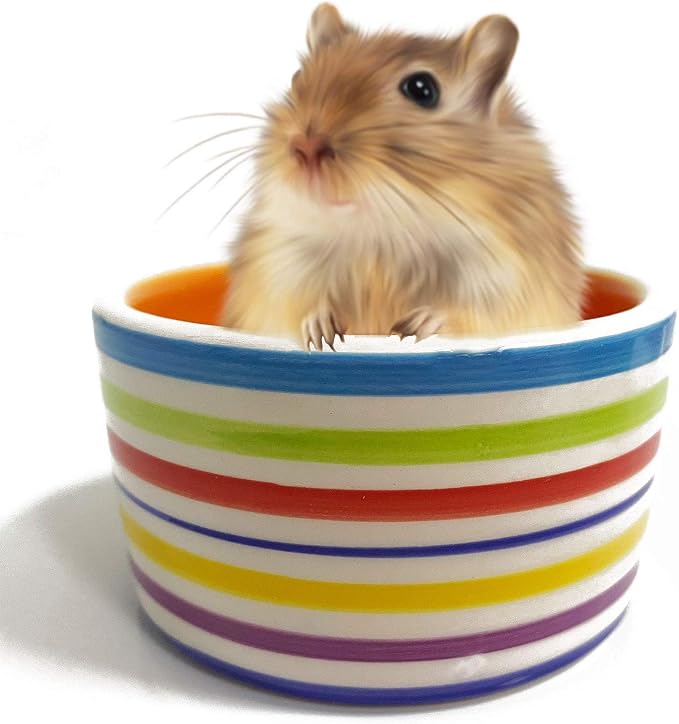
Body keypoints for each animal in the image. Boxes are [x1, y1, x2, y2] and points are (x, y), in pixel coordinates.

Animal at [220, 4, 585, 350]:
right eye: (297, 78)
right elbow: (294, 307)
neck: (380, 237)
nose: (305, 147)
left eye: (423, 89)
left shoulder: (510, 284)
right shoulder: (274, 273)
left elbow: (474, 317)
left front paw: (419, 324)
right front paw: (319, 328)